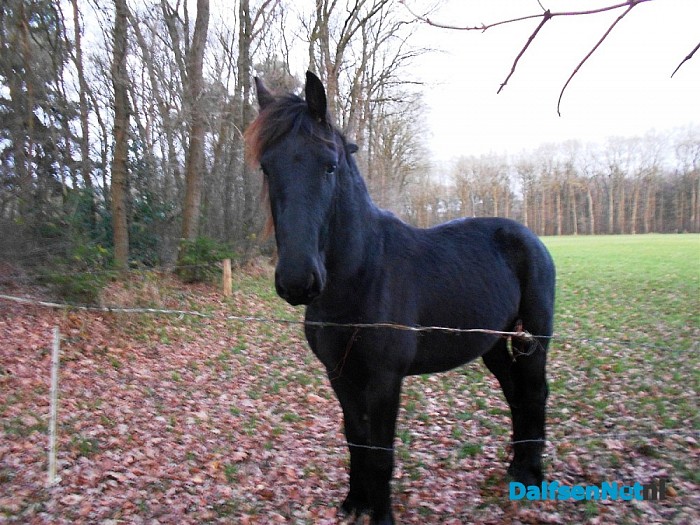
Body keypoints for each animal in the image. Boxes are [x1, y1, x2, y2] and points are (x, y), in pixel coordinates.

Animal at [245, 71, 556, 524]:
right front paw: (355, 502)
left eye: (329, 165)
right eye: (267, 167)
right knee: (516, 394)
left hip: (533, 339)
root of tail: (528, 236)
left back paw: (531, 474)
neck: (360, 277)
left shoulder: (385, 380)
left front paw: (381, 515)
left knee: (534, 392)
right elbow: (356, 439)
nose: (298, 281)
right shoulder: (339, 375)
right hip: (494, 343)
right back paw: (515, 468)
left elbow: (381, 454)